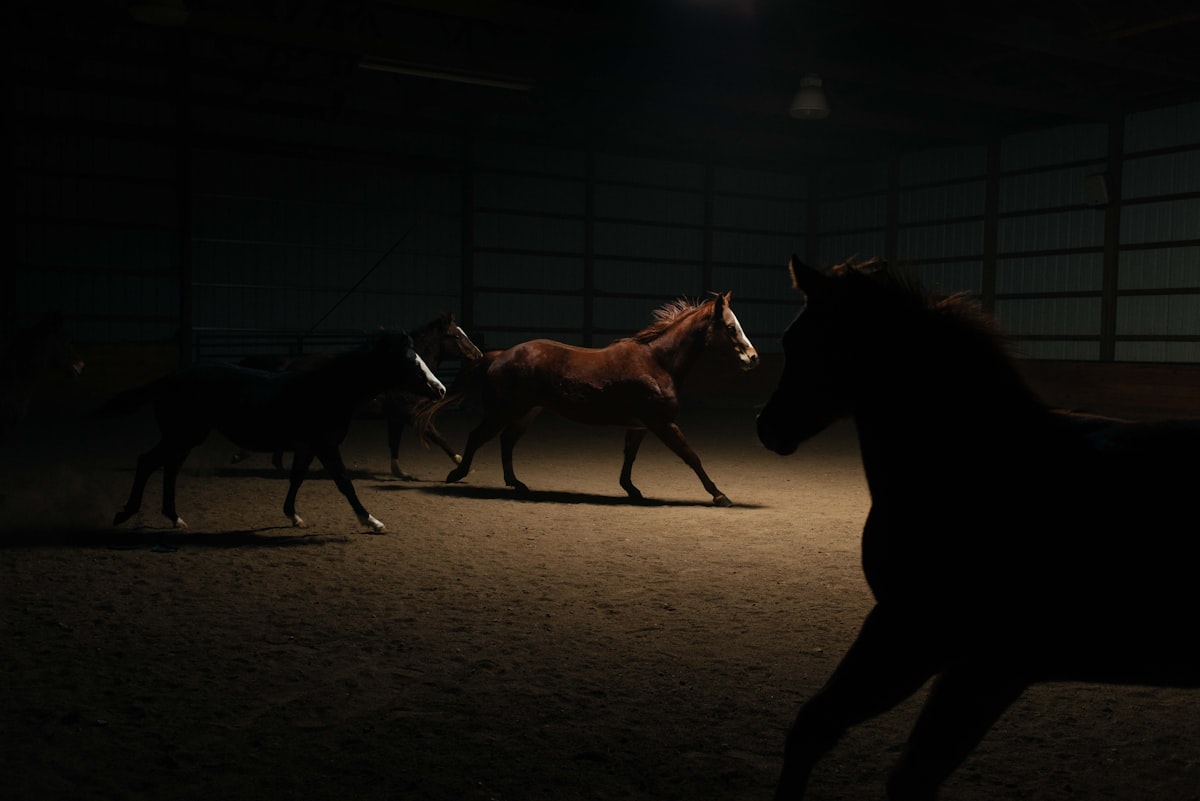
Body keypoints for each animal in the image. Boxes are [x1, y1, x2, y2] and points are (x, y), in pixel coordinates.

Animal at [99, 330, 446, 532]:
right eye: (414, 365)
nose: (441, 390)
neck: (326, 390)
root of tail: (170, 378)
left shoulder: (307, 447)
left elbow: (296, 479)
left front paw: (293, 516)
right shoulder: (326, 446)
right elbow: (344, 483)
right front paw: (371, 520)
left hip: (185, 438)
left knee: (169, 469)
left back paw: (174, 518)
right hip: (181, 436)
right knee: (147, 462)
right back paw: (125, 514)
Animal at [233, 313, 482, 477]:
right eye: (456, 336)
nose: (478, 355)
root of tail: (289, 364)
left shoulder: (396, 415)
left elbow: (394, 442)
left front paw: (399, 472)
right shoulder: (408, 413)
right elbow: (437, 435)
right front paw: (461, 462)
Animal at [425, 292, 758, 506]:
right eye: (731, 327)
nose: (753, 358)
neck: (657, 362)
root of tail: (499, 355)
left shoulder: (640, 425)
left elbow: (629, 456)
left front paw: (631, 489)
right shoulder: (661, 422)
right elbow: (691, 456)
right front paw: (719, 495)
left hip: (527, 411)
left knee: (507, 441)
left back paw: (517, 484)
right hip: (504, 409)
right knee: (478, 436)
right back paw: (458, 473)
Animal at [755, 255, 1200, 800]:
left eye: (812, 341)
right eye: (790, 339)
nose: (767, 427)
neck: (982, 461)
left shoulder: (937, 644)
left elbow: (883, 762)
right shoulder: (949, 652)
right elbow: (825, 734)